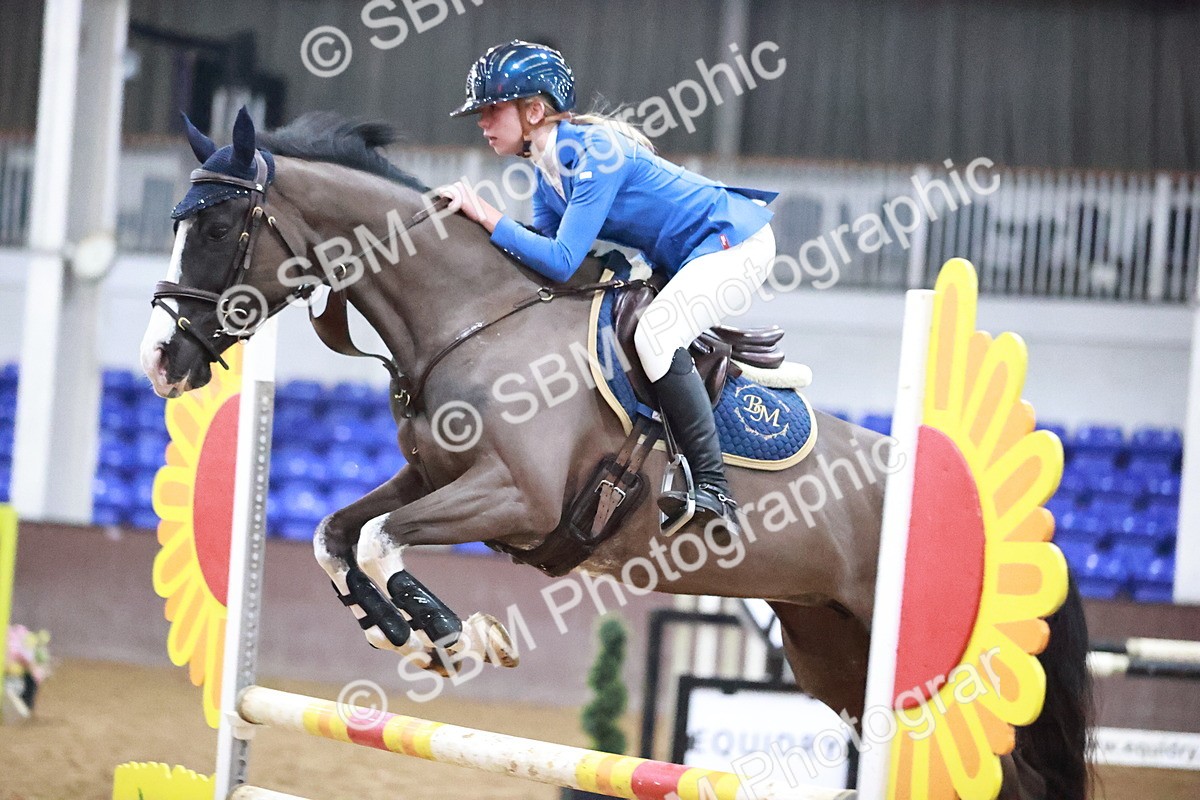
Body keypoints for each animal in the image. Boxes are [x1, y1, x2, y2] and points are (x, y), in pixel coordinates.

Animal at [139, 109, 1091, 800]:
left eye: (217, 227)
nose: (160, 361)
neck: (470, 318)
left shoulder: (515, 498)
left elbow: (379, 539)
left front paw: (456, 637)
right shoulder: (432, 476)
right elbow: (338, 534)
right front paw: (394, 628)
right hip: (833, 650)